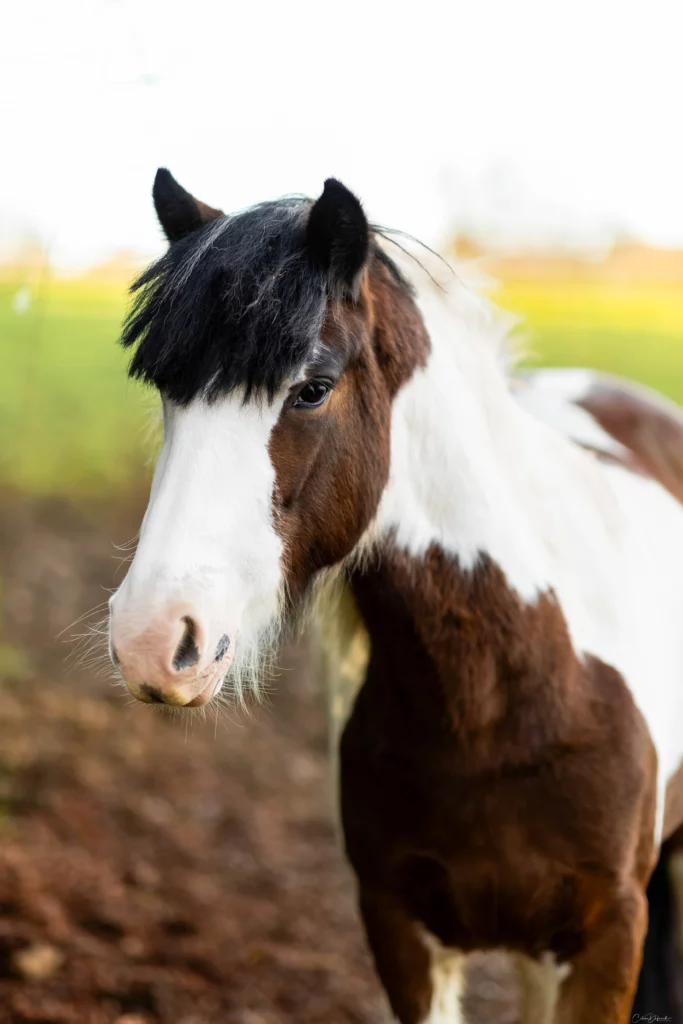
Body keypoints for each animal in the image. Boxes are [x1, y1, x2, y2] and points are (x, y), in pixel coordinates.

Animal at [108, 169, 683, 1024]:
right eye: (167, 393)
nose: (151, 639)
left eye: (311, 389)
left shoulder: (607, 935)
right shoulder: (401, 930)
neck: (499, 698)